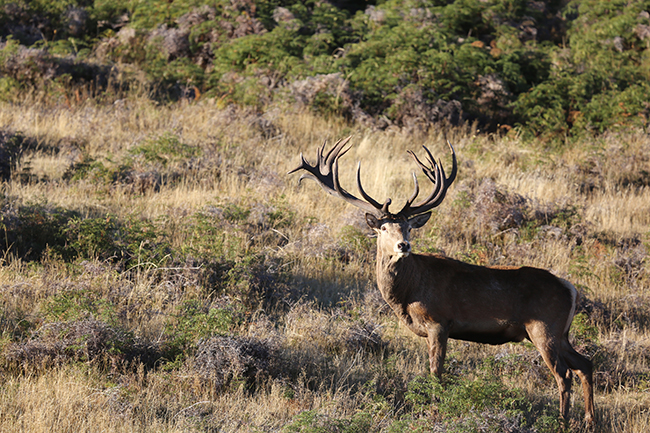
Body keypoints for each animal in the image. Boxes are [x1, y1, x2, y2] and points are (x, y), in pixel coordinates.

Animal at [288, 137, 592, 424]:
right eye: (383, 227)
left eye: (408, 227)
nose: (403, 245)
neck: (408, 293)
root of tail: (570, 289)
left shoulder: (439, 321)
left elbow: (436, 372)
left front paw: (435, 410)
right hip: (560, 333)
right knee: (584, 363)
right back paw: (588, 421)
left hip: (544, 327)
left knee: (564, 374)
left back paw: (563, 421)